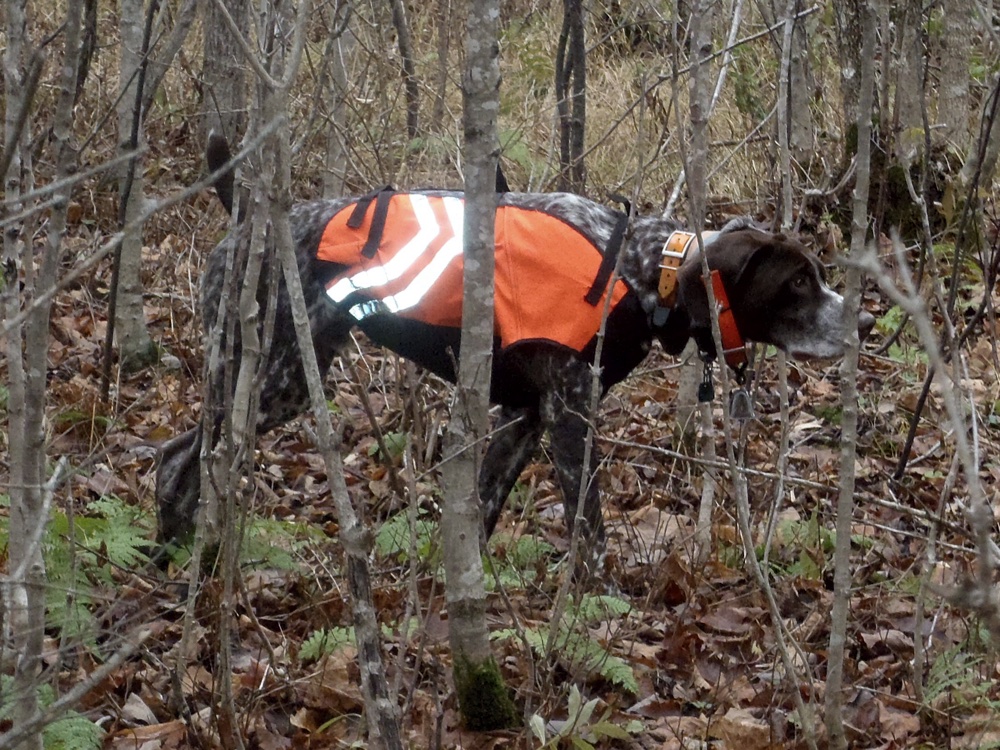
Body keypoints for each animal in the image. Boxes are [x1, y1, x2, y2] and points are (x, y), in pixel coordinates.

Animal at [156, 135, 876, 560]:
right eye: (798, 282)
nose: (866, 322)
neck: (641, 273)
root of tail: (244, 218)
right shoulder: (568, 416)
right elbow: (589, 535)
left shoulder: (522, 418)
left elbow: (481, 509)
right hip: (276, 376)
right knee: (178, 460)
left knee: (176, 458)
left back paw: (172, 553)